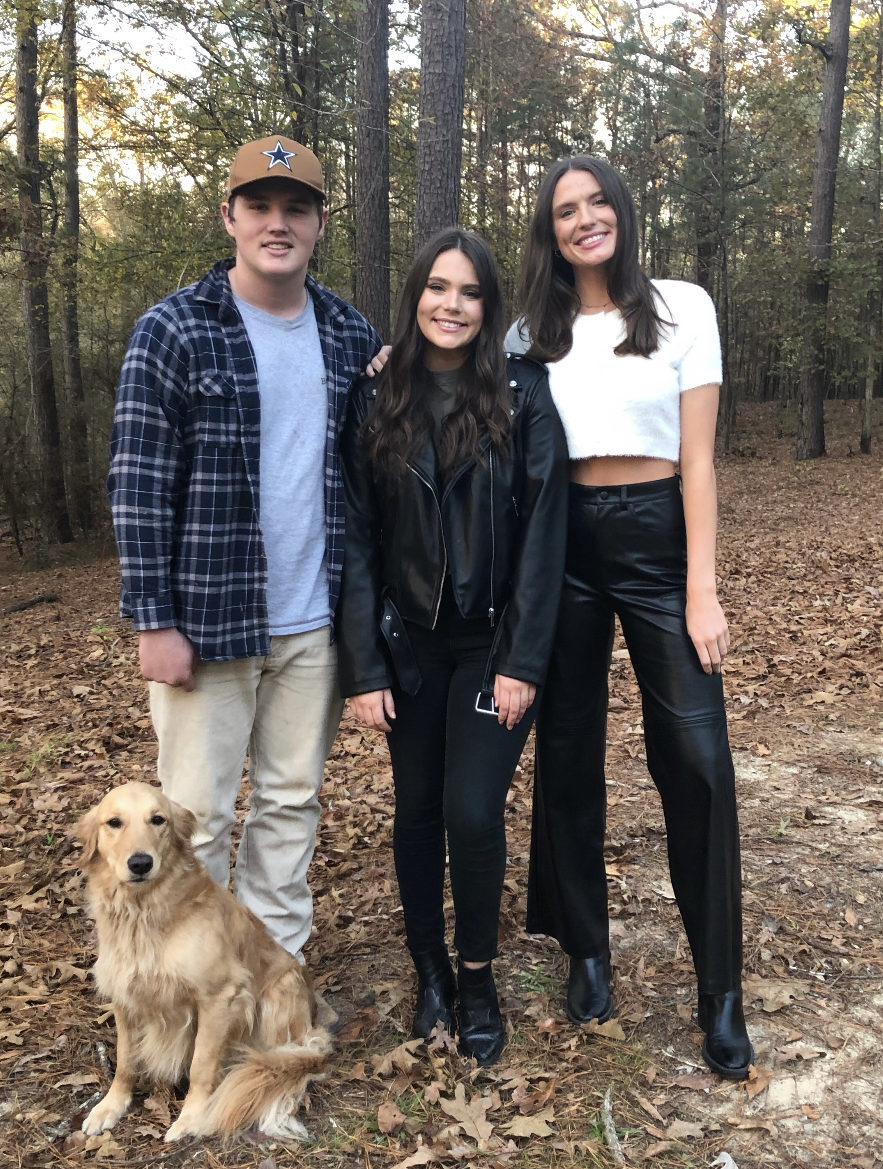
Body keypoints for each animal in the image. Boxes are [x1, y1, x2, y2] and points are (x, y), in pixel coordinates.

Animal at [74, 780, 332, 1136]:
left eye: (158, 820)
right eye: (114, 822)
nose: (140, 863)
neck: (145, 911)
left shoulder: (220, 997)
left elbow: (202, 1064)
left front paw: (192, 1118)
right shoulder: (125, 997)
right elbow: (125, 1060)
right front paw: (111, 1105)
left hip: (280, 992)